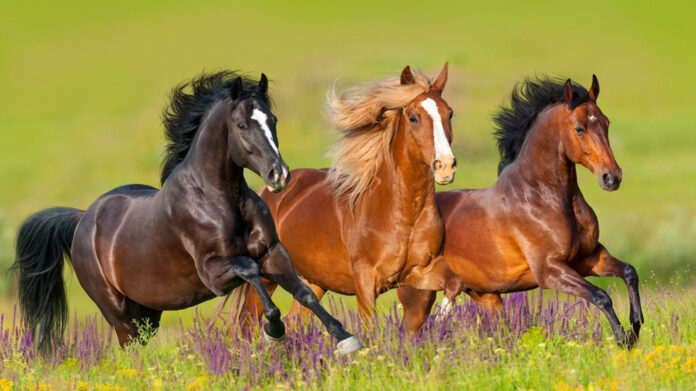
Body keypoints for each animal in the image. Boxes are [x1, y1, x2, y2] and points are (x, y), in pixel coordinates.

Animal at [12, 70, 364, 356]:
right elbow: (251, 270)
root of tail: (83, 219)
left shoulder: (274, 253)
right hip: (118, 312)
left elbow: (305, 293)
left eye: (273, 120)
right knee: (130, 350)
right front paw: (274, 332)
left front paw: (346, 339)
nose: (279, 175)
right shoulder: (214, 274)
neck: (220, 200)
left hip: (148, 312)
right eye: (241, 124)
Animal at [234, 63, 460, 322]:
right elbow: (371, 324)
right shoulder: (365, 280)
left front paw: (440, 321)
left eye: (449, 114)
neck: (401, 213)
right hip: (266, 277)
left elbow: (454, 283)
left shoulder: (419, 271)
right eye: (413, 118)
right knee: (247, 322)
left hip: (313, 282)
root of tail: (267, 192)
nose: (445, 166)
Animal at [400, 76, 644, 350]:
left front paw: (635, 327)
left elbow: (629, 272)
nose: (611, 177)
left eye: (606, 122)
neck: (542, 196)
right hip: (420, 295)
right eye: (580, 128)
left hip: (486, 296)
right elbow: (601, 296)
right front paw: (623, 339)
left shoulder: (588, 258)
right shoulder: (550, 270)